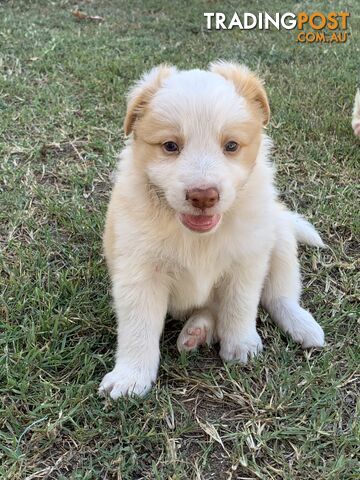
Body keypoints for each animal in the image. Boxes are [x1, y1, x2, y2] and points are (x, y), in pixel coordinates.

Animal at [99, 62, 326, 400]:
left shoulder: (247, 259)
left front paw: (241, 345)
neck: (198, 237)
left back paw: (301, 325)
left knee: (279, 295)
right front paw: (131, 376)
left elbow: (240, 304)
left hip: (279, 235)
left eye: (231, 146)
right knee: (211, 309)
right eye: (170, 146)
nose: (203, 196)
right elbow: (139, 327)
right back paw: (197, 331)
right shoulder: (139, 270)